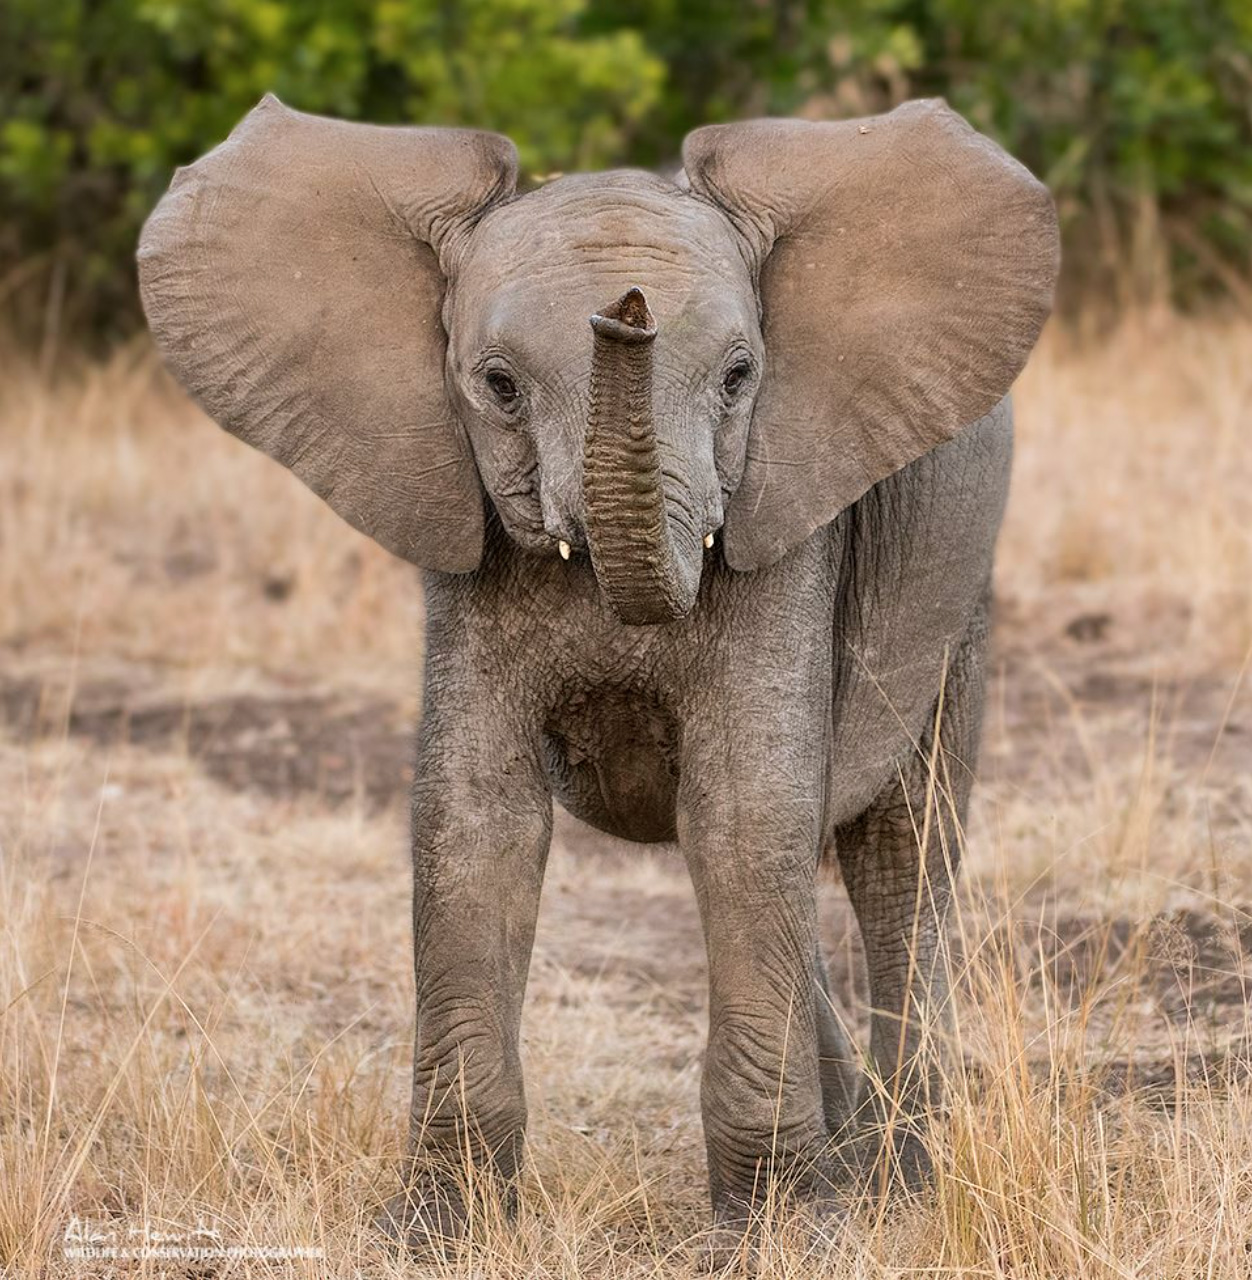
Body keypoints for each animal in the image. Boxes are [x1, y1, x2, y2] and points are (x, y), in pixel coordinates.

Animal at [136, 97, 1054, 1249]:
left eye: (741, 375)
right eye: (497, 385)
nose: (625, 312)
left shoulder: (786, 522)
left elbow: (743, 814)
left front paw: (776, 1237)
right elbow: (476, 823)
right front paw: (437, 1231)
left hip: (962, 578)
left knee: (903, 847)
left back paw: (898, 1185)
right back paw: (849, 1158)